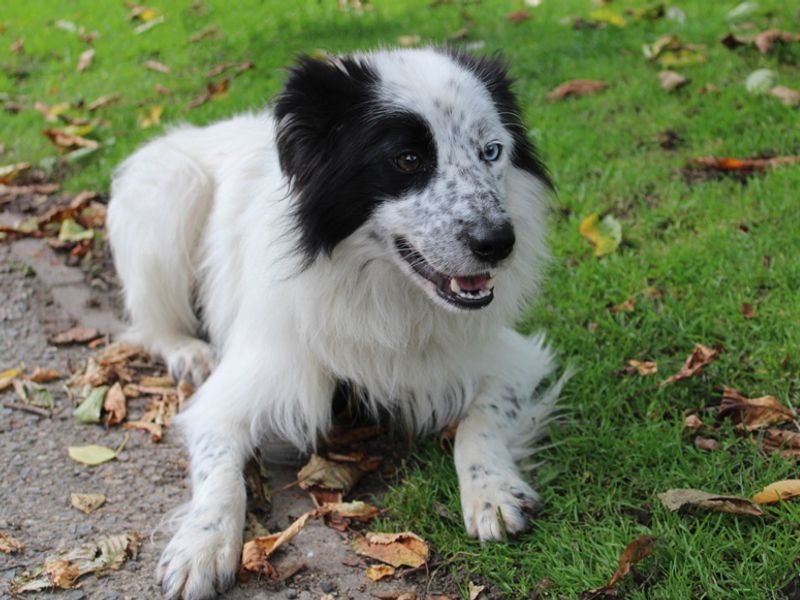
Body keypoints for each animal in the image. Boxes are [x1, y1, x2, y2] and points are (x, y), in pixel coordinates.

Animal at [108, 48, 568, 600]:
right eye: (407, 159)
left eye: (491, 151)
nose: (499, 243)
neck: (379, 294)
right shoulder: (228, 398)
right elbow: (221, 475)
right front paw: (202, 542)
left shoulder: (511, 359)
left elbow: (481, 422)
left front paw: (492, 489)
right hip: (170, 191)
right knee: (153, 324)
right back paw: (187, 351)